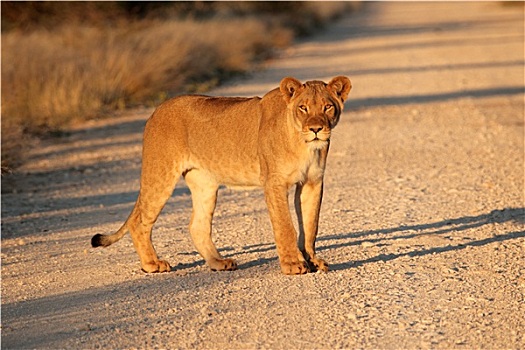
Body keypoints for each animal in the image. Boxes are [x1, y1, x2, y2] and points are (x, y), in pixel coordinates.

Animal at [91, 75, 352, 274]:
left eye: (328, 107)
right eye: (303, 108)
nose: (316, 129)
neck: (304, 145)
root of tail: (156, 111)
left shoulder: (312, 182)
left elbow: (310, 224)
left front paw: (313, 261)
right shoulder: (274, 182)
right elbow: (285, 225)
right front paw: (293, 264)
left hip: (204, 183)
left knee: (197, 225)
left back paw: (218, 262)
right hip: (160, 174)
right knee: (139, 221)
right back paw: (152, 264)